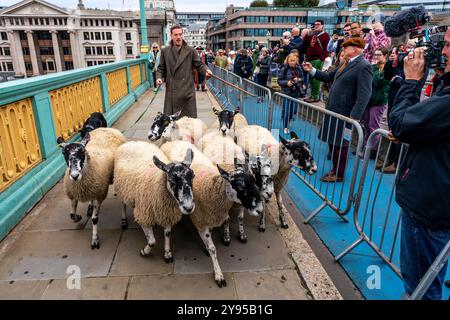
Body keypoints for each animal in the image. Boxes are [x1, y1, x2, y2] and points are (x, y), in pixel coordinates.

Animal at [160, 141, 264, 288]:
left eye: (254, 180)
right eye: (240, 185)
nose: (260, 209)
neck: (212, 187)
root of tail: (172, 141)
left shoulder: (211, 217)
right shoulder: (201, 221)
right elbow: (213, 248)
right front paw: (219, 275)